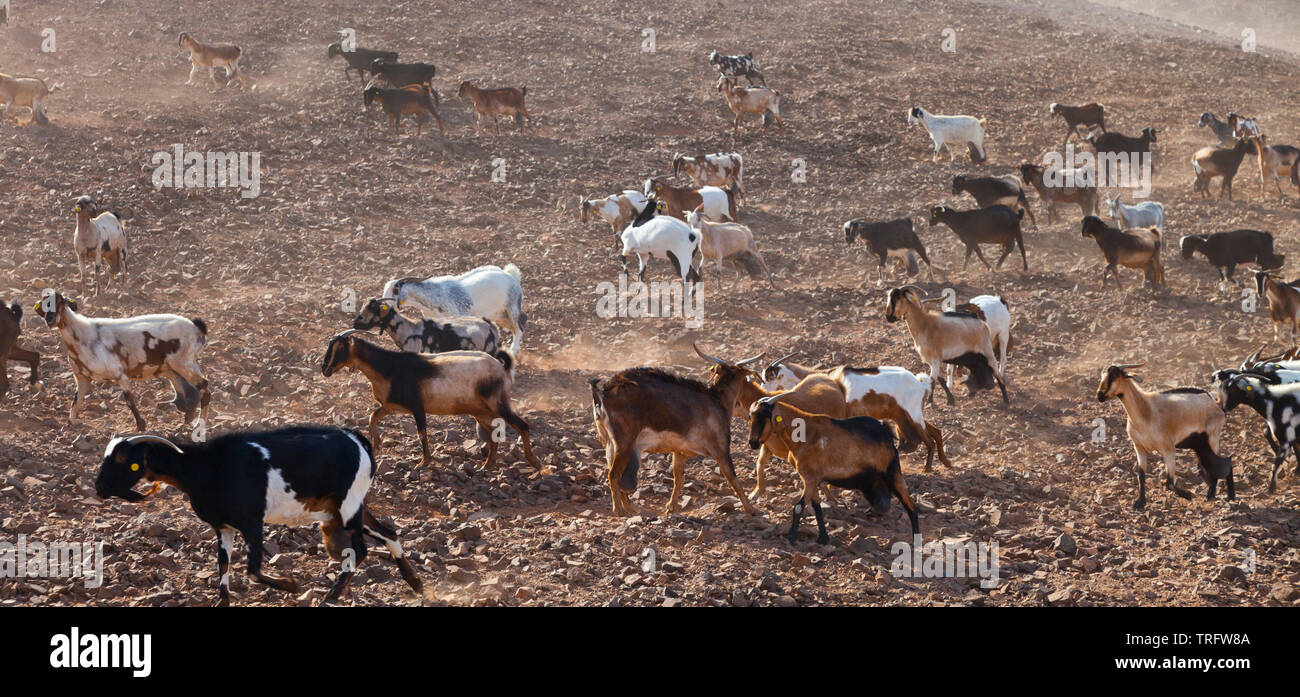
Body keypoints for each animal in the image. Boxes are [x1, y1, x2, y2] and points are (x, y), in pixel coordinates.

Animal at [96, 423, 421, 603]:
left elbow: (252, 571)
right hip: (343, 508)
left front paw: (291, 585)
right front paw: (223, 601)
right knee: (387, 532)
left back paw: (332, 596)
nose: (99, 487)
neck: (206, 467)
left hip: (348, 506)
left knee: (361, 550)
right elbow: (223, 565)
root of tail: (356, 438)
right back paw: (415, 582)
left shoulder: (252, 522)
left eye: (125, 460)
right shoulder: (223, 527)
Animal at [379, 265, 527, 356]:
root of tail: (511, 275)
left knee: (519, 329)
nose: (382, 305)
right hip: (500, 315)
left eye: (395, 290)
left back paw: (513, 351)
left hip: (512, 308)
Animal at [587, 343, 759, 514]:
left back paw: (630, 508)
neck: (717, 399)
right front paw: (751, 509)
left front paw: (671, 507)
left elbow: (678, 479)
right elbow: (733, 478)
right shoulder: (721, 448)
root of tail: (602, 392)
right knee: (614, 475)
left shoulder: (680, 452)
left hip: (609, 442)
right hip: (624, 443)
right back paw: (618, 510)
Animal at [748, 397, 920, 543]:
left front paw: (790, 538)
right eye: (751, 417)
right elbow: (817, 508)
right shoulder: (811, 479)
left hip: (893, 473)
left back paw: (916, 542)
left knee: (911, 506)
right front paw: (823, 538)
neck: (803, 433)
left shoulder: (811, 478)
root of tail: (886, 434)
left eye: (763, 417)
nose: (752, 443)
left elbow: (798, 507)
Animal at [1097, 364, 1227, 507]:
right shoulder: (1139, 448)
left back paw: (1210, 495)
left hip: (1213, 437)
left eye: (1114, 376)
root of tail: (1216, 403)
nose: (1099, 395)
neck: (1146, 411)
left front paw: (1188, 495)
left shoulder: (1168, 449)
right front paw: (1140, 502)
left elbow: (1169, 483)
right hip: (1200, 444)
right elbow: (1141, 476)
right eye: (1102, 375)